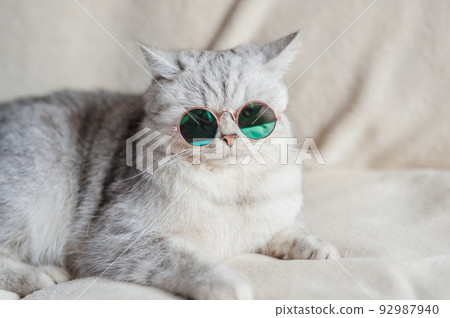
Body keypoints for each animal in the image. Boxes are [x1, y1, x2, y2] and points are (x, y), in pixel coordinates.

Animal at [0, 31, 338, 300]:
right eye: (199, 120)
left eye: (253, 115)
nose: (229, 136)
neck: (231, 188)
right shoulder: (115, 238)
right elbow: (186, 260)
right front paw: (228, 283)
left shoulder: (272, 219)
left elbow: (286, 232)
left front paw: (314, 245)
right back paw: (41, 276)